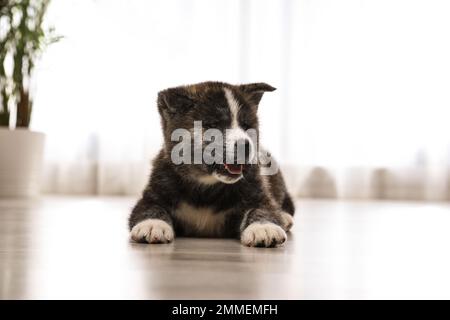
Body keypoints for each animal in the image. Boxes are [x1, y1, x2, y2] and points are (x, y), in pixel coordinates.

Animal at [127, 81, 296, 246]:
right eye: (214, 125)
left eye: (246, 126)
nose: (245, 146)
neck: (205, 189)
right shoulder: (153, 193)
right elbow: (151, 207)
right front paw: (152, 224)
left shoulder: (258, 194)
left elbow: (263, 209)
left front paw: (264, 227)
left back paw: (285, 218)